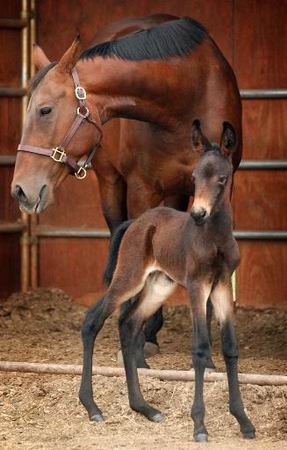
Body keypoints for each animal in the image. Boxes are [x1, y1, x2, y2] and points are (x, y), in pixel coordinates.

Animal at [10, 15, 241, 366]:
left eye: (45, 110)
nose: (21, 190)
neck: (186, 95)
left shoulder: (220, 188)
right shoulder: (141, 189)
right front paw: (139, 337)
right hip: (112, 186)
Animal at [79, 121, 256, 442]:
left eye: (222, 178)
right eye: (194, 177)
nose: (198, 213)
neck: (214, 239)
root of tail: (135, 223)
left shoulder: (222, 286)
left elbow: (230, 348)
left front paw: (244, 422)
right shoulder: (198, 286)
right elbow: (200, 349)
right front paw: (199, 426)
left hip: (158, 286)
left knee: (129, 323)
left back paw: (144, 408)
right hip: (129, 277)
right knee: (93, 321)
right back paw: (92, 407)